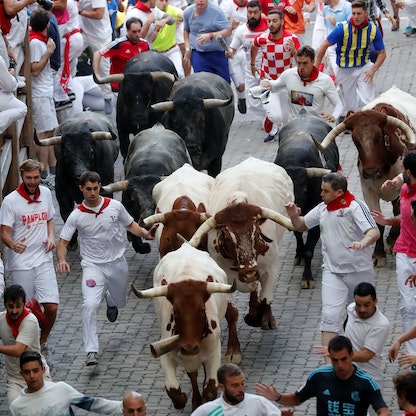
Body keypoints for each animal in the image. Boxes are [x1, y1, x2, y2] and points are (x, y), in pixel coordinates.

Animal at [132, 244, 234, 410]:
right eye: (175, 311)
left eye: (202, 311)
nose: (189, 348)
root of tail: (186, 246)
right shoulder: (165, 354)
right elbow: (174, 391)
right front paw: (186, 398)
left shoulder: (214, 352)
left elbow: (210, 390)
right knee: (192, 374)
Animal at [187, 158, 294, 362]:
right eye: (227, 237)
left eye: (256, 233)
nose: (249, 272)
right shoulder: (225, 279)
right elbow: (232, 312)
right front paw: (233, 350)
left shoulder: (270, 270)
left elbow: (265, 300)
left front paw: (255, 317)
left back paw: (265, 318)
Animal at [274, 111, 340, 290]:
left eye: (304, 190)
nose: (295, 209)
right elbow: (298, 234)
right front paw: (300, 254)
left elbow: (310, 249)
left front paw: (307, 277)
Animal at [316, 85, 416, 264]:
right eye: (355, 140)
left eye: (380, 136)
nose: (371, 171)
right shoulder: (368, 190)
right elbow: (377, 221)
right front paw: (378, 254)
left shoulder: (402, 185)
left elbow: (399, 210)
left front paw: (392, 242)